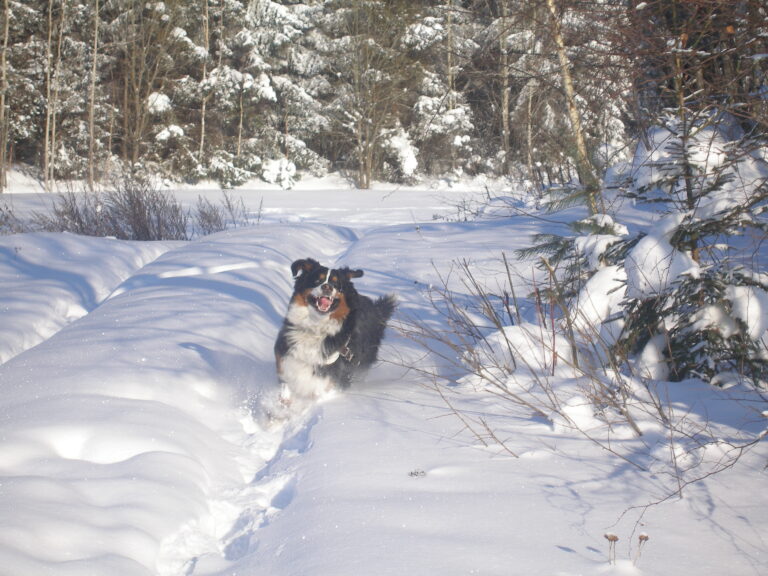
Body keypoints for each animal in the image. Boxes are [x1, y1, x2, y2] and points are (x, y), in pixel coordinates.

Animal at [274, 256, 396, 400]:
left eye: (336, 284)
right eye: (317, 280)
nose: (327, 287)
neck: (316, 326)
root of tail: (377, 310)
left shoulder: (333, 374)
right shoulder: (287, 358)